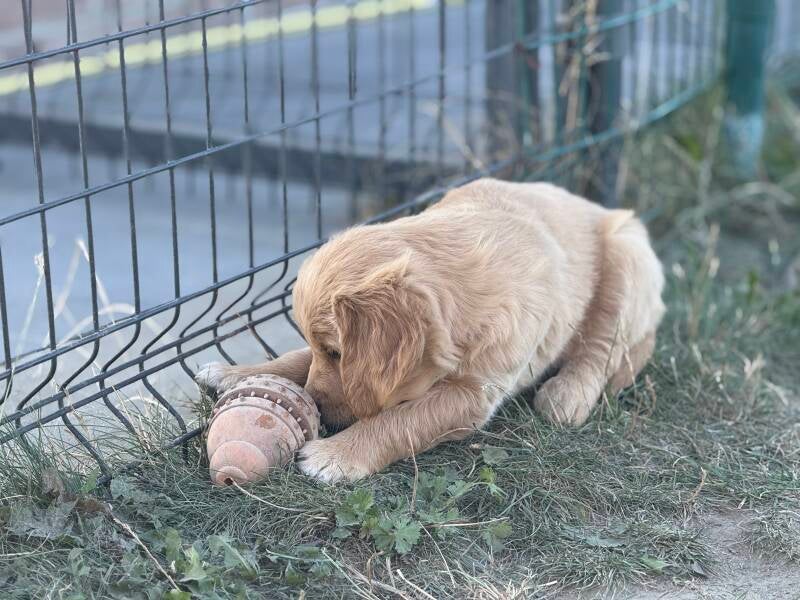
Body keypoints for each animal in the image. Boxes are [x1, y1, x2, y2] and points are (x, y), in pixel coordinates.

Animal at [196, 179, 665, 483]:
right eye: (324, 349)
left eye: (337, 353)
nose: (315, 406)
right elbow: (295, 358)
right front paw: (234, 374)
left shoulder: (475, 393)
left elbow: (404, 419)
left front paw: (336, 455)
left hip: (627, 257)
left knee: (601, 347)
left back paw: (568, 394)